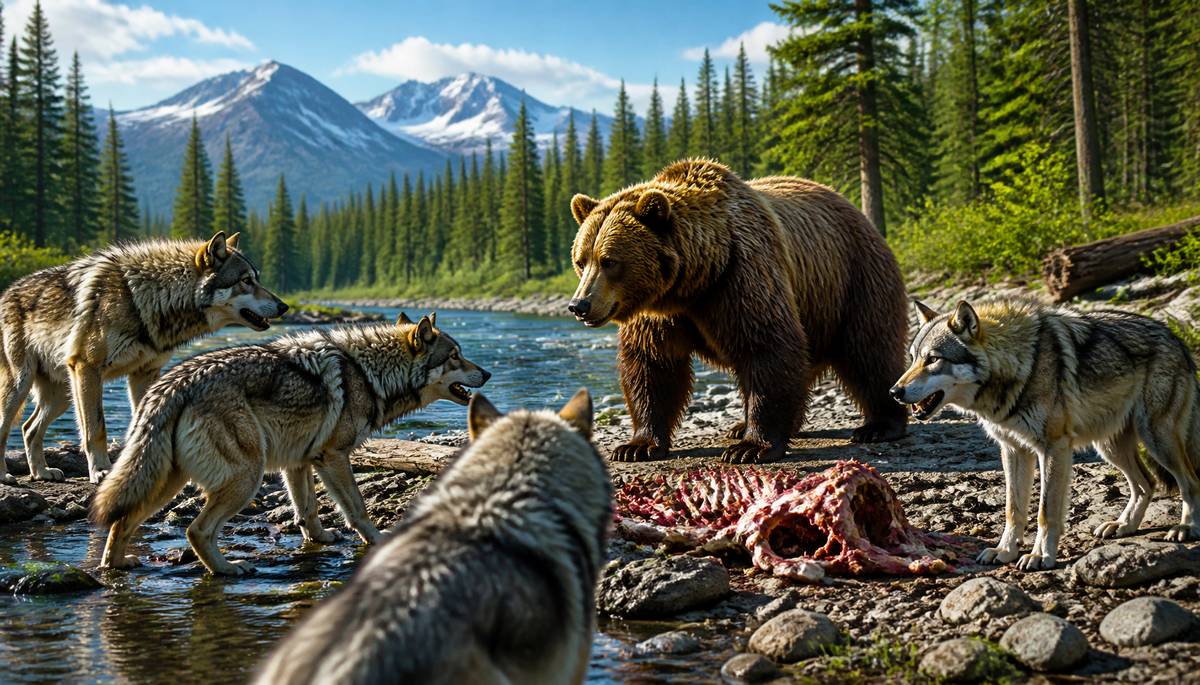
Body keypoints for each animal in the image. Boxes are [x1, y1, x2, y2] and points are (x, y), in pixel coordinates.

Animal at [0, 231, 287, 485]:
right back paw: (6, 476)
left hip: (62, 395)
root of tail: (7, 291)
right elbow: (96, 429)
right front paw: (101, 471)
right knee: (8, 428)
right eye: (246, 280)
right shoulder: (88, 368)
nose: (284, 306)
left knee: (28, 428)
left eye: (256, 279)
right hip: (23, 386)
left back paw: (41, 473)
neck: (144, 298)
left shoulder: (145, 374)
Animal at [92, 313, 490, 576]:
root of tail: (172, 384)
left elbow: (307, 511)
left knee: (121, 521)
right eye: (455, 356)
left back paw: (116, 564)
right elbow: (358, 509)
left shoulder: (299, 462)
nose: (486, 373)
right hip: (245, 478)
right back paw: (227, 568)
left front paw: (321, 539)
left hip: (167, 481)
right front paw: (378, 540)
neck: (368, 374)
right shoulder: (333, 457)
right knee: (196, 530)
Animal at [567, 159, 909, 464]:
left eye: (610, 261)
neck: (695, 283)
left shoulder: (741, 276)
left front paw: (751, 448)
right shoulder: (658, 313)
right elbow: (652, 365)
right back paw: (746, 426)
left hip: (853, 279)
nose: (579, 305)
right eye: (581, 260)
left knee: (869, 351)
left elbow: (766, 347)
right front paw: (637, 446)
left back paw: (879, 425)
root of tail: (855, 210)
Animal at [892, 298, 1200, 571]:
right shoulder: (1013, 451)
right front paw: (1005, 551)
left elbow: (1045, 512)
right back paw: (1124, 525)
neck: (1019, 367)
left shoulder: (1054, 448)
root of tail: (1176, 338)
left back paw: (1186, 527)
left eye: (933, 359)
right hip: (1110, 447)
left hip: (1157, 439)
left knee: (1190, 482)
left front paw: (1041, 556)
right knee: (1146, 484)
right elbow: (1013, 509)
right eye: (913, 359)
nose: (894, 392)